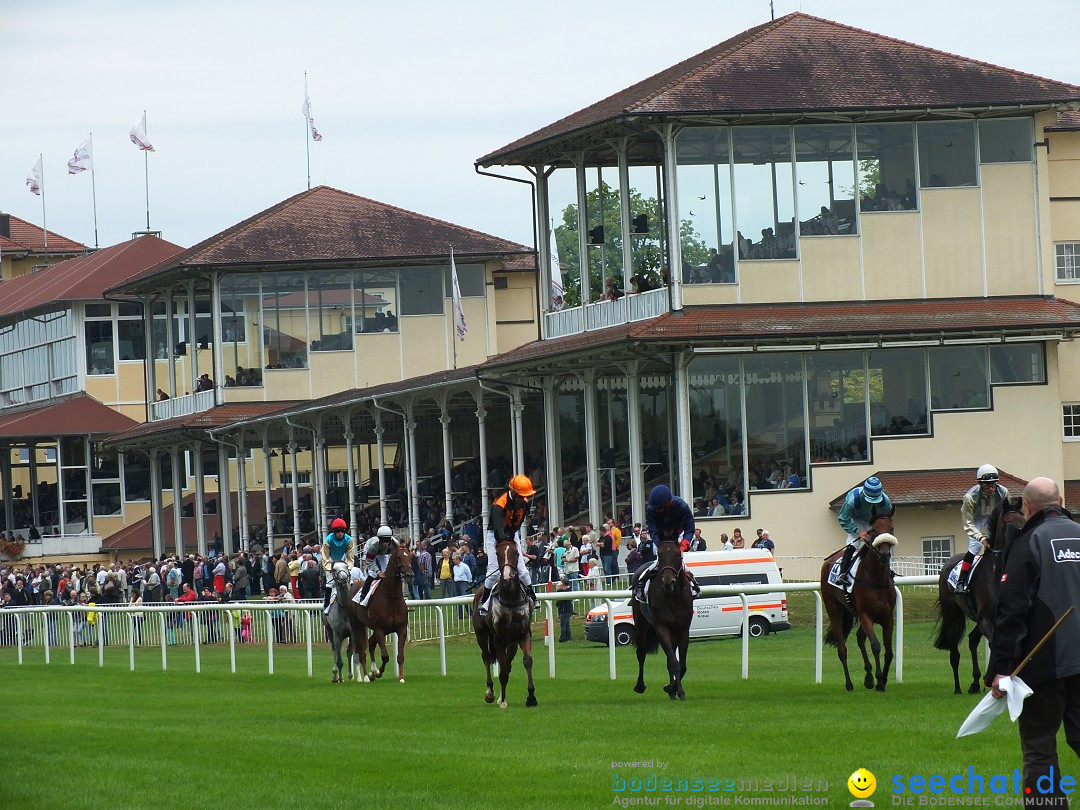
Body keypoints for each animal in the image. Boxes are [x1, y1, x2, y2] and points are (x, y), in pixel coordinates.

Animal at [349, 546, 412, 686]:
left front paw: (401, 677)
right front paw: (377, 672)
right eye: (399, 557)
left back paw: (371, 672)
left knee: (371, 643)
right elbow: (385, 656)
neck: (392, 598)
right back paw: (366, 676)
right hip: (356, 626)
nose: (410, 574)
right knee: (361, 651)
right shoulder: (380, 630)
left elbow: (400, 656)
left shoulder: (401, 629)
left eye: (410, 556)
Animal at [473, 546, 540, 708]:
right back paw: (490, 692)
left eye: (516, 553)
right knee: (486, 656)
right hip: (481, 634)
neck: (511, 597)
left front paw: (531, 697)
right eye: (497, 553)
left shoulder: (523, 634)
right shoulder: (499, 638)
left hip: (511, 643)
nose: (508, 576)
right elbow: (502, 670)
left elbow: (527, 661)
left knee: (506, 663)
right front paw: (502, 700)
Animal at [630, 542, 695, 699]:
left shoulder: (683, 630)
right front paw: (675, 690)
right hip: (641, 623)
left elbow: (680, 665)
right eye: (659, 555)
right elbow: (674, 663)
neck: (674, 597)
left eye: (678, 555)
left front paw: (673, 689)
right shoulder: (662, 628)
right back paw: (640, 686)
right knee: (641, 653)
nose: (667, 581)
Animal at [820, 509, 898, 695]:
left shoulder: (887, 617)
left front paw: (881, 680)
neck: (876, 580)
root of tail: (828, 561)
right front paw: (879, 680)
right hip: (834, 611)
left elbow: (889, 651)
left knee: (859, 637)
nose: (884, 555)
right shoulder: (866, 615)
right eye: (873, 530)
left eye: (891, 528)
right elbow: (876, 645)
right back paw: (849, 684)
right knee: (842, 649)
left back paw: (868, 678)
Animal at [933, 498, 1023, 695]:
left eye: (1023, 520)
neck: (998, 575)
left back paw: (975, 682)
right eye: (1006, 523)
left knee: (973, 640)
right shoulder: (986, 620)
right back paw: (958, 688)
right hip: (952, 615)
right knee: (955, 652)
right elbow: (994, 644)